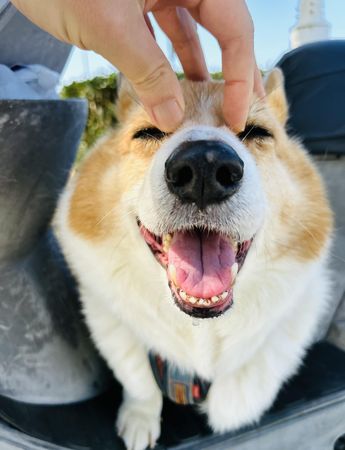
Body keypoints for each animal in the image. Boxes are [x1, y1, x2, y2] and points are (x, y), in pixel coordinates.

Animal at [55, 69, 332, 450]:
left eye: (257, 132)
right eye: (148, 132)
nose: (204, 167)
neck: (198, 332)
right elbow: (139, 383)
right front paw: (139, 421)